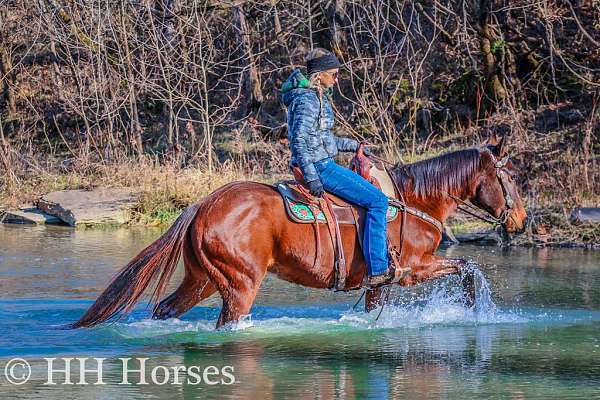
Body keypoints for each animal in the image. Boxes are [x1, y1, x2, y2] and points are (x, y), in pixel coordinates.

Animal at [72, 136, 528, 330]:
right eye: (509, 178)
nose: (522, 220)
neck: (415, 202)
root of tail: (204, 204)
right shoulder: (413, 269)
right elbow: (468, 267)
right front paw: (473, 309)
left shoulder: (380, 283)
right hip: (240, 283)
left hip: (202, 279)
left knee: (167, 308)